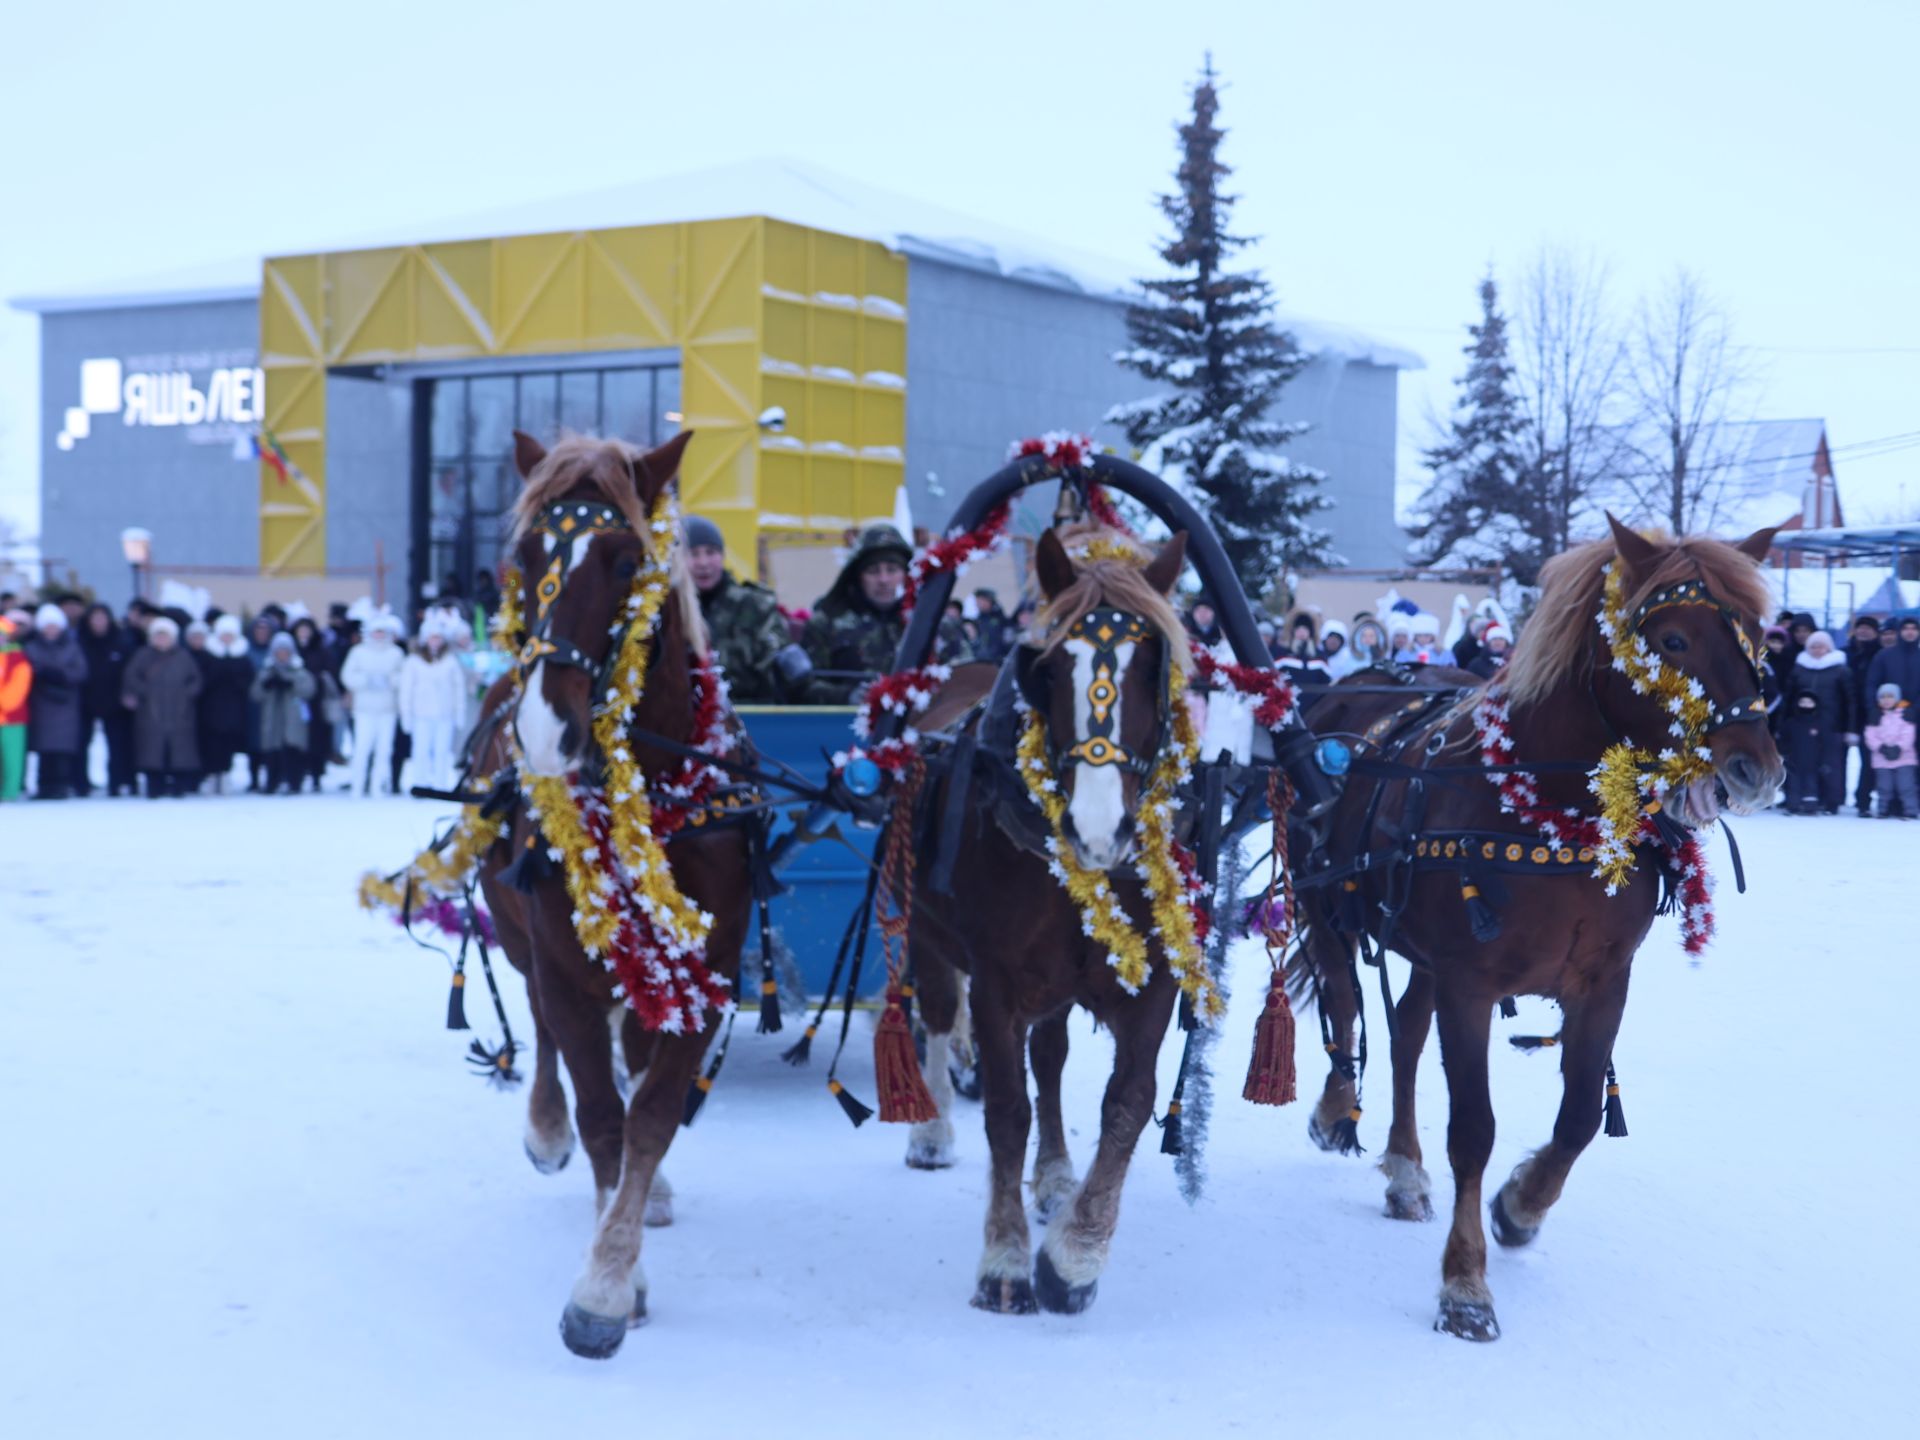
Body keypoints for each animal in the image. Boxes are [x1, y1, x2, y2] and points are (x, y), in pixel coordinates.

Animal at [476, 432, 752, 1367]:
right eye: (526, 556)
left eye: (628, 559)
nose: (542, 730)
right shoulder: (564, 962)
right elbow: (601, 1115)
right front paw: (610, 1285)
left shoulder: (711, 967)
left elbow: (653, 1114)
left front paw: (610, 1265)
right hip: (519, 933)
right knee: (541, 1021)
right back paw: (544, 1129)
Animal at [906, 526, 1190, 1320]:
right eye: (1049, 669)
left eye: (1153, 665)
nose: (1097, 830)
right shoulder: (996, 981)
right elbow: (1006, 1112)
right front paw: (1004, 1261)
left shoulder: (1153, 980)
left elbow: (1128, 1104)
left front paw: (1075, 1257)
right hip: (922, 931)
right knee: (934, 1015)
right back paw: (932, 1126)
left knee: (1053, 1057)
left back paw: (1058, 1177)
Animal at [1297, 518, 1774, 1344]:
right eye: (1673, 640)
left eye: (1756, 634)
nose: (1759, 767)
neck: (1551, 809)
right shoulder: (1468, 982)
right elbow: (1473, 1130)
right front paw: (1464, 1285)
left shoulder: (1602, 981)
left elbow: (1580, 1118)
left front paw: (1520, 1205)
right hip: (1328, 898)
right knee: (1345, 1001)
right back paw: (1337, 1109)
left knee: (1403, 1034)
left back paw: (1403, 1169)